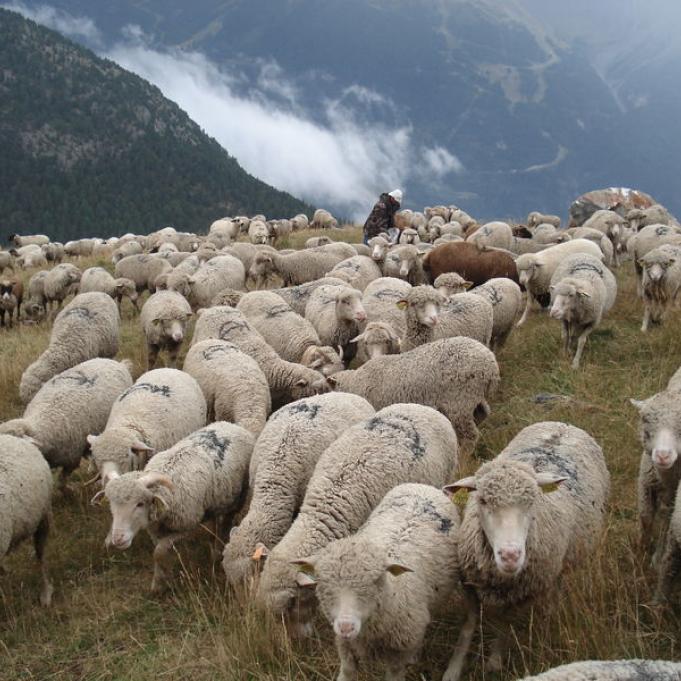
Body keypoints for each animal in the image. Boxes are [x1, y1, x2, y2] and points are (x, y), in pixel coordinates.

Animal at [98, 422, 253, 592]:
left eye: (140, 503)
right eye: (112, 505)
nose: (118, 539)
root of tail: (230, 424)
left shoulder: (186, 527)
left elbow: (158, 553)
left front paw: (159, 584)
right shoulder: (155, 530)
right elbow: (162, 552)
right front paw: (162, 578)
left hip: (238, 497)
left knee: (226, 521)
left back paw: (218, 549)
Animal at [293, 484, 460, 681]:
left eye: (376, 580)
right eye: (321, 583)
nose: (346, 628)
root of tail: (423, 487)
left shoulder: (399, 653)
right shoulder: (345, 647)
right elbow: (347, 672)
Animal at [329, 337, 499, 455]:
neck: (355, 383)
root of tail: (491, 365)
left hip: (460, 399)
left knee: (470, 435)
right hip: (474, 398)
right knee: (482, 415)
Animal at [443, 421, 609, 680]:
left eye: (533, 500)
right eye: (482, 500)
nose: (510, 556)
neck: (500, 578)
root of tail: (563, 423)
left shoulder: (523, 590)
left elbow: (505, 623)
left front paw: (494, 661)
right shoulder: (469, 582)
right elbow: (468, 626)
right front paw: (453, 669)